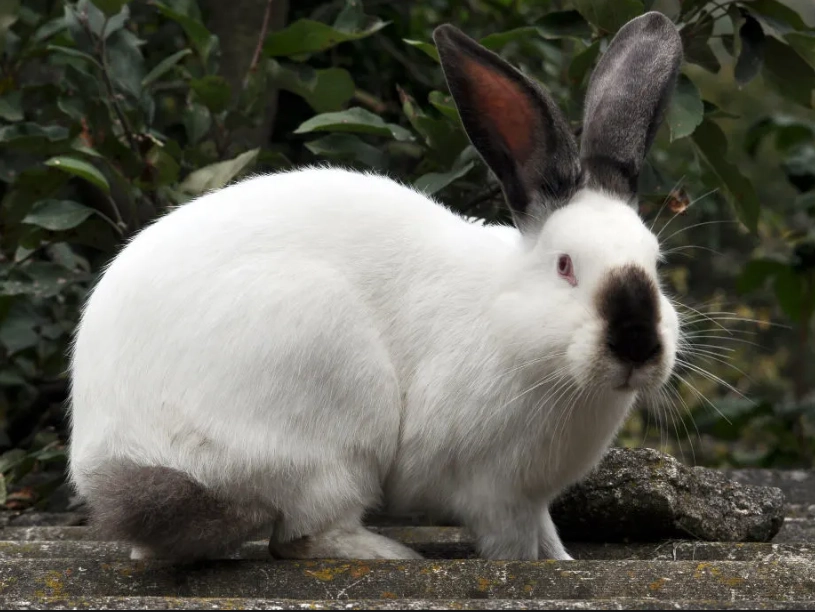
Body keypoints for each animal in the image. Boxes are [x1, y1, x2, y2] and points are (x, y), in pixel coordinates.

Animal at [68, 11, 684, 562]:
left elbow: (548, 535)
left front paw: (563, 560)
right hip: (329, 413)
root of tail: (120, 451)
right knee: (305, 536)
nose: (636, 344)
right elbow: (511, 547)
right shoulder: (494, 490)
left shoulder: (533, 500)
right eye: (565, 266)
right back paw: (394, 555)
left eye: (656, 262)